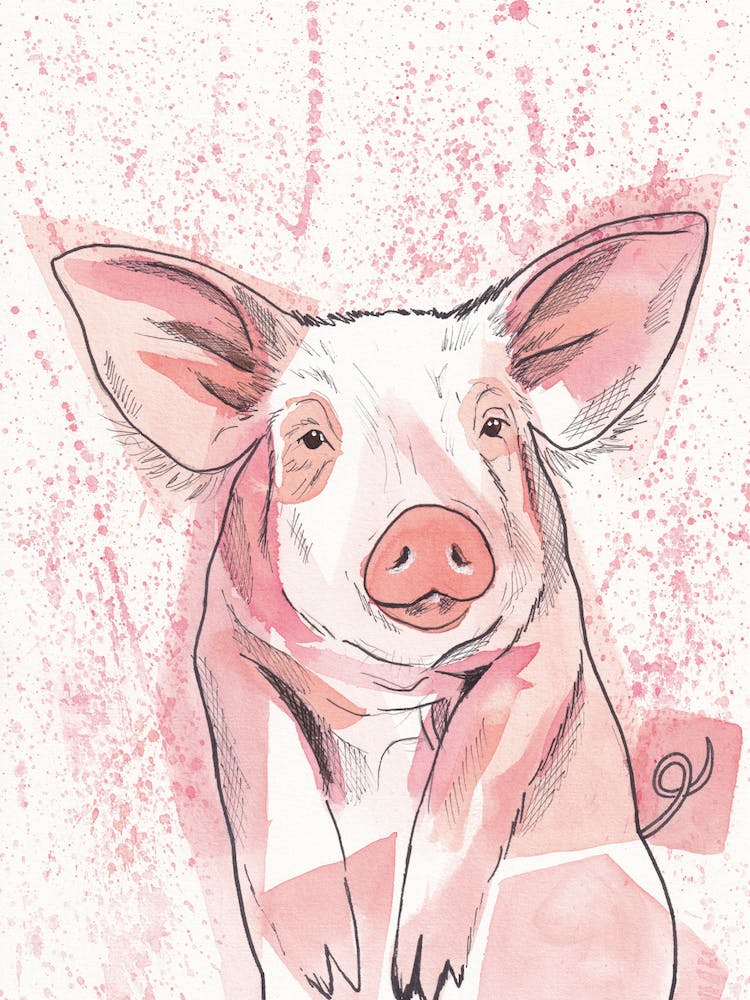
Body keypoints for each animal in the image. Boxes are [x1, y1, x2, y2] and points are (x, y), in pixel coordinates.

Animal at [52, 211, 708, 1000]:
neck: (395, 687)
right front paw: (335, 969)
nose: (426, 527)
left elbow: (471, 777)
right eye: (311, 436)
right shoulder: (223, 649)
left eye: (493, 424)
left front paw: (419, 971)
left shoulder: (547, 645)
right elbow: (272, 775)